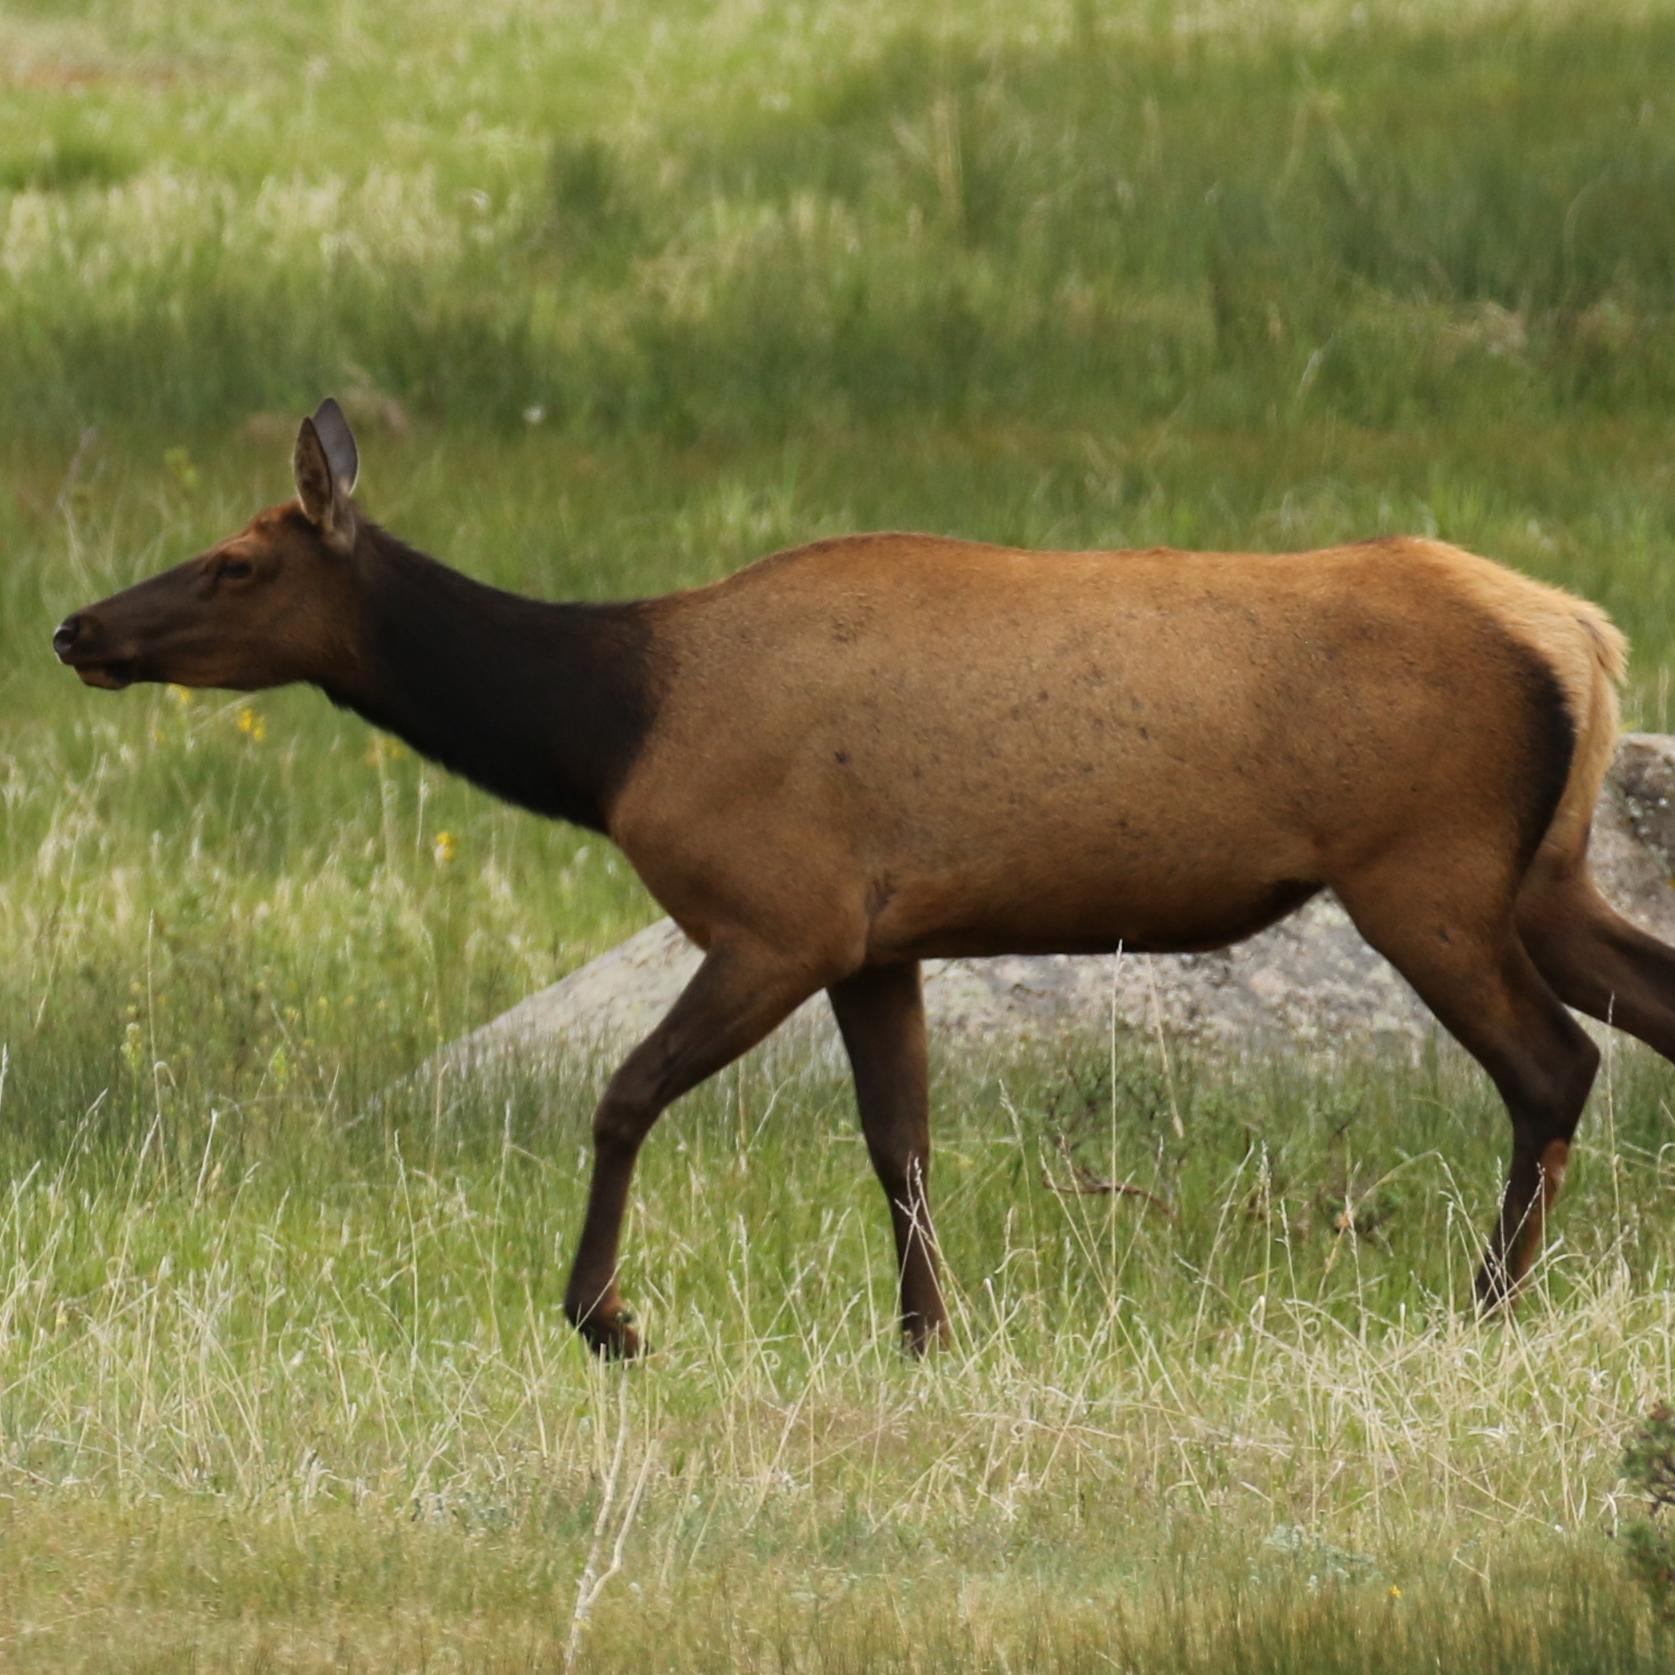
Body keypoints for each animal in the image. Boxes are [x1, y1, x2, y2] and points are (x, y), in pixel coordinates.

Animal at [52, 399, 1673, 1359]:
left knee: (1551, 1063)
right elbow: (900, 1140)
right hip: (1538, 873)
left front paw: (604, 1314)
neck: (609, 730)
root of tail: (1584, 635)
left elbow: (625, 1092)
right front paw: (924, 1330)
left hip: (1425, 866)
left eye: (235, 562)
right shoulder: (878, 938)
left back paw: (1480, 1304)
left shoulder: (779, 910)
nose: (77, 627)